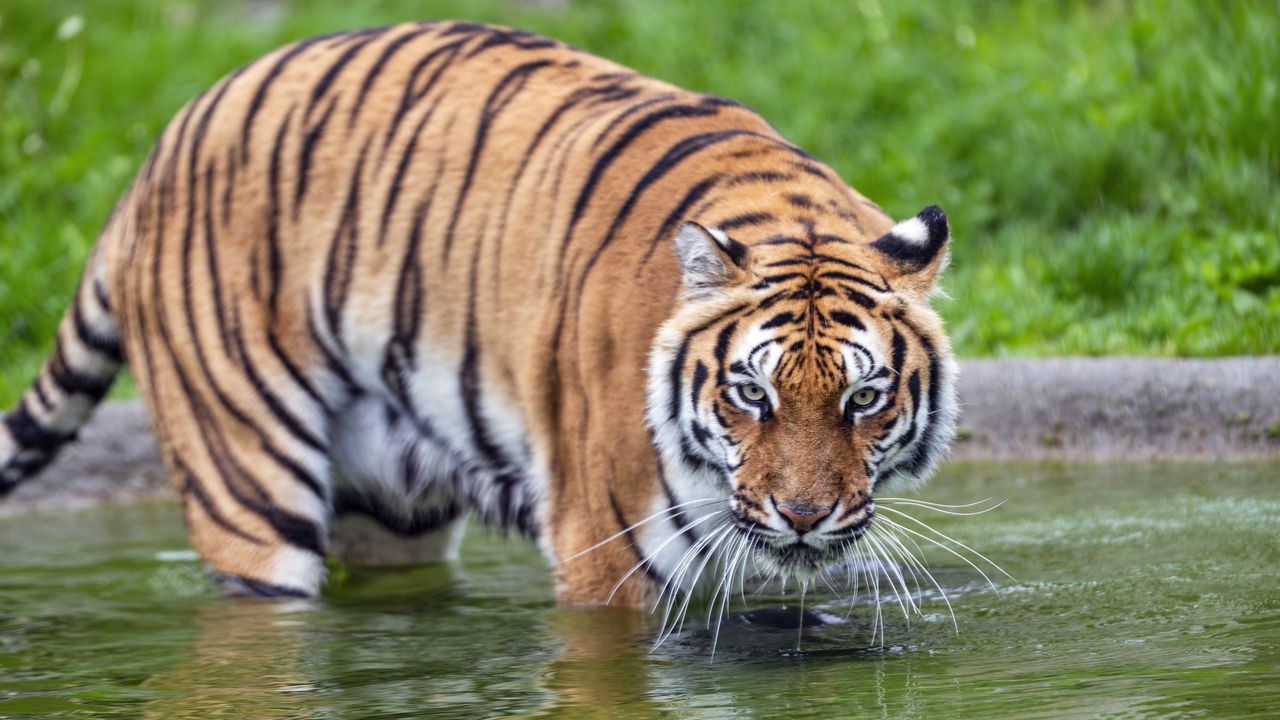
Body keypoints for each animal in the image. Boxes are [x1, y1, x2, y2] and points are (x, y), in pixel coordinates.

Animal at [0, 21, 957, 605]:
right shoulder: (605, 560)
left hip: (392, 505)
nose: (804, 517)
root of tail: (157, 149)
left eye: (864, 400)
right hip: (247, 483)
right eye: (752, 395)